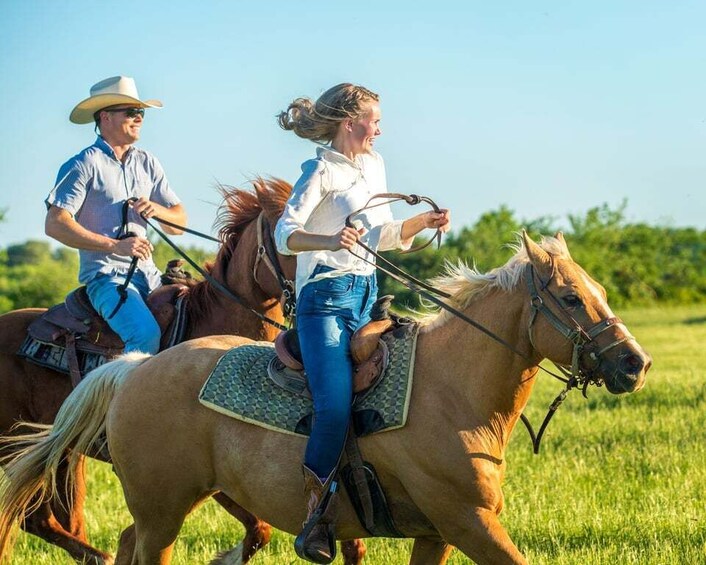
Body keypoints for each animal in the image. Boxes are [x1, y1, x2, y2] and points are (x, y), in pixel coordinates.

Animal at [0, 231, 648, 560]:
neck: (448, 391)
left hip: (158, 508)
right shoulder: (469, 523)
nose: (634, 364)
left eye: (599, 287)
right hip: (162, 511)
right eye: (570, 297)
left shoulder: (435, 534)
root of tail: (134, 368)